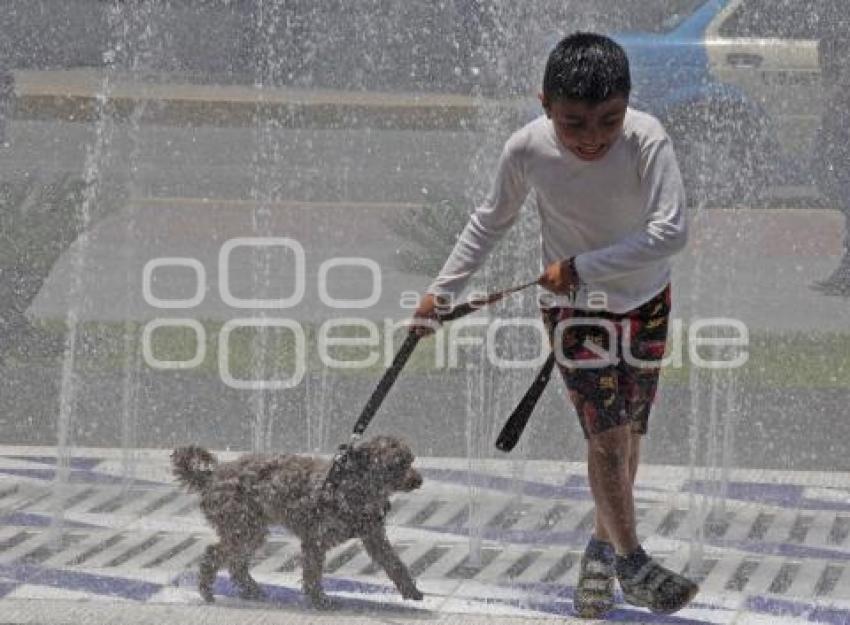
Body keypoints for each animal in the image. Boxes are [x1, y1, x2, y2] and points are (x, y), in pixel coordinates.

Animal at [171, 436, 424, 608]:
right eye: (396, 465)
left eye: (410, 460)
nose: (419, 480)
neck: (354, 486)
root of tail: (211, 477)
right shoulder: (315, 539)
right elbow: (312, 573)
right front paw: (319, 600)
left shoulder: (373, 536)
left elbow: (394, 564)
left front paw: (411, 590)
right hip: (242, 526)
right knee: (214, 554)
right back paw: (206, 590)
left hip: (252, 530)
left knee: (236, 563)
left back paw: (251, 590)